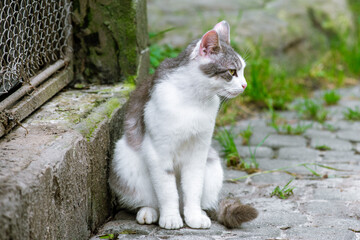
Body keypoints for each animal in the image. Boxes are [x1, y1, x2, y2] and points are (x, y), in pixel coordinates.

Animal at [108, 20, 258, 229]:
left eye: (242, 70)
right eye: (232, 71)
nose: (245, 85)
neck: (194, 99)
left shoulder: (199, 150)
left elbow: (193, 187)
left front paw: (194, 216)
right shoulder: (158, 151)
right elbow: (168, 192)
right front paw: (170, 218)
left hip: (212, 165)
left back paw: (199, 211)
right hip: (124, 161)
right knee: (148, 199)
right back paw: (149, 212)